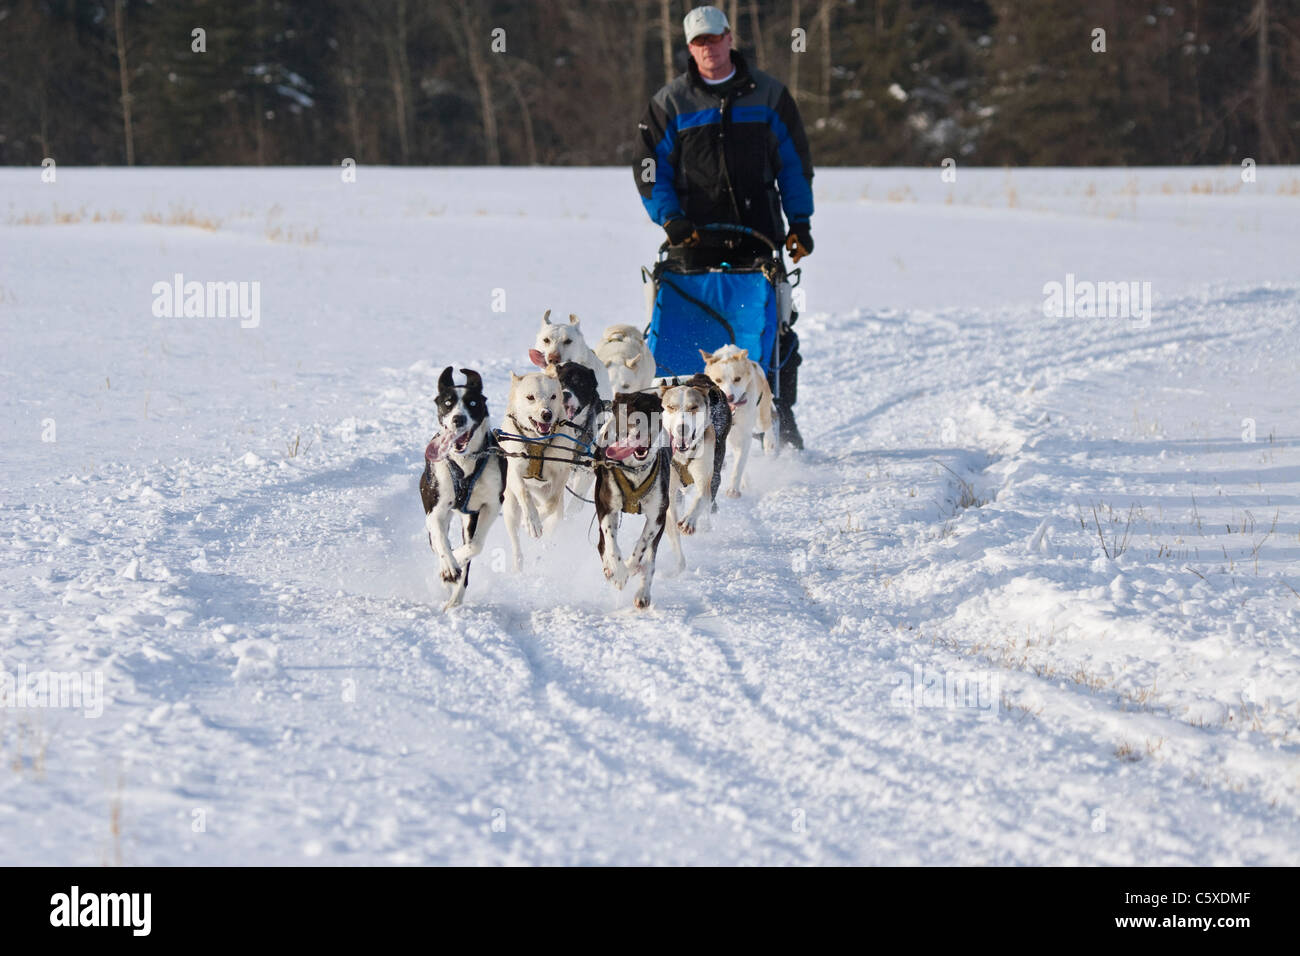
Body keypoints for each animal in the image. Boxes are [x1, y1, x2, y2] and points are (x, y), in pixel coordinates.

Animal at [418, 366, 504, 606]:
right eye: (448, 403)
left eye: (472, 403)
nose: (458, 418)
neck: (465, 462)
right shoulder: (435, 511)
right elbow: (440, 539)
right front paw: (448, 565)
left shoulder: (491, 505)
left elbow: (475, 546)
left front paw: (456, 558)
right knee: (437, 541)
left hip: (469, 518)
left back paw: (455, 596)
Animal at [499, 366, 566, 567]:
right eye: (530, 397)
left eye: (553, 396)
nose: (547, 414)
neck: (537, 441)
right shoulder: (514, 470)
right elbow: (524, 492)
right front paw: (532, 522)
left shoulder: (562, 472)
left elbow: (551, 503)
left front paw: (540, 517)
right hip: (510, 508)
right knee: (515, 540)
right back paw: (518, 564)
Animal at [595, 392, 686, 608]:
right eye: (627, 411)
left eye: (651, 410)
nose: (640, 428)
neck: (634, 470)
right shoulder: (607, 508)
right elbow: (611, 542)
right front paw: (619, 572)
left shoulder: (657, 516)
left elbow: (642, 546)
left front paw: (629, 566)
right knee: (602, 544)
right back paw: (610, 570)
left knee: (650, 558)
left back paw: (643, 591)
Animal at [660, 374, 733, 538]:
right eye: (671, 407)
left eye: (693, 407)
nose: (682, 428)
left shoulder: (705, 478)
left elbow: (701, 499)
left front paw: (689, 521)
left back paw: (705, 525)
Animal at [707, 343, 774, 496]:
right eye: (718, 380)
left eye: (737, 379)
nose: (729, 397)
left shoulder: (743, 435)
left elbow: (739, 466)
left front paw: (733, 489)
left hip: (761, 418)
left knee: (768, 424)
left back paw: (770, 444)